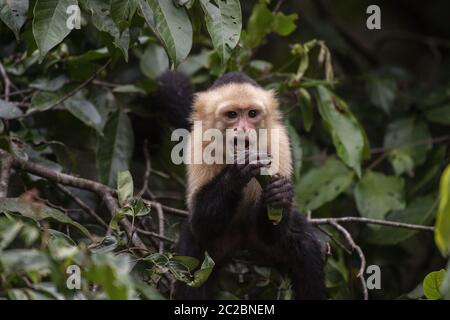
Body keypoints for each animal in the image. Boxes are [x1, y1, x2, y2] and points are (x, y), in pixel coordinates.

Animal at [156, 71, 326, 298]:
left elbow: (273, 234)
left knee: (305, 248)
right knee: (194, 258)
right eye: (232, 115)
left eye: (252, 114)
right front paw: (236, 174)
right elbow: (201, 222)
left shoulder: (278, 141)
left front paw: (279, 195)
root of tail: (242, 240)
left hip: (261, 242)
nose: (244, 129)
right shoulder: (199, 142)